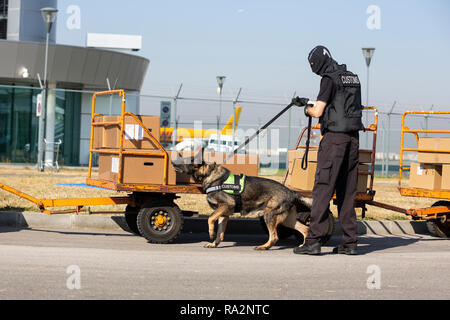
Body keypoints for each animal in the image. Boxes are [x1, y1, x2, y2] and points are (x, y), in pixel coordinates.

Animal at [171, 152, 312, 250]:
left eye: (183, 160)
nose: (172, 162)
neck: (209, 174)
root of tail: (291, 192)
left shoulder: (225, 206)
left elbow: (210, 218)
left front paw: (210, 232)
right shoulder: (224, 214)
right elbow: (220, 233)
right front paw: (214, 244)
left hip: (269, 215)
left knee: (274, 236)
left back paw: (264, 247)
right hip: (287, 220)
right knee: (305, 229)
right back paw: (303, 246)